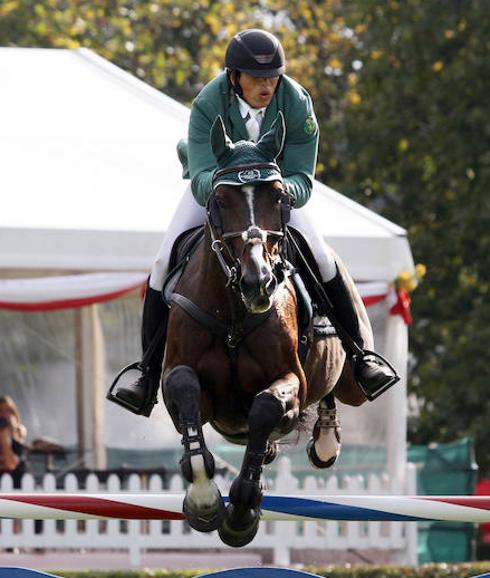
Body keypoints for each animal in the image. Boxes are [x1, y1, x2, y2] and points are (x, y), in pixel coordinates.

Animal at [161, 112, 372, 544]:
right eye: (220, 201)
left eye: (279, 197)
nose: (257, 283)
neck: (233, 314)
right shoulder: (181, 381)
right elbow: (185, 390)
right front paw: (205, 499)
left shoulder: (289, 380)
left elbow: (266, 407)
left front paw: (241, 511)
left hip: (353, 384)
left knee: (340, 390)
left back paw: (326, 440)